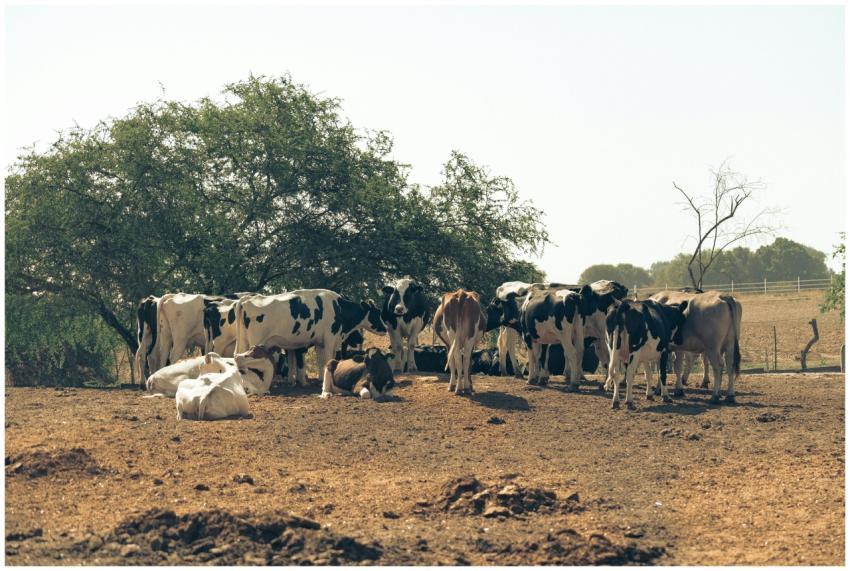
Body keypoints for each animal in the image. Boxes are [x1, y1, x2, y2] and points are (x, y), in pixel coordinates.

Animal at [235, 289, 386, 386]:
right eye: (377, 313)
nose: (385, 328)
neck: (338, 308)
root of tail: (247, 299)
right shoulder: (330, 339)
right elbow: (329, 359)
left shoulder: (319, 342)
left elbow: (320, 361)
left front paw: (320, 380)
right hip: (256, 342)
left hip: (243, 341)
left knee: (238, 357)